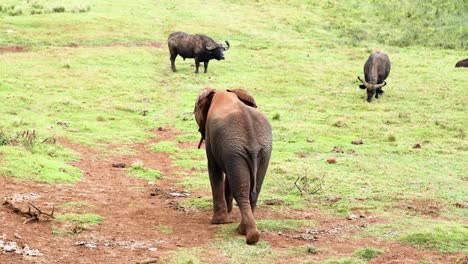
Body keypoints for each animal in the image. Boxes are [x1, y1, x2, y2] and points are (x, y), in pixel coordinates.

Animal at [194, 87, 272, 244]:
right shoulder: (230, 153)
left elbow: (214, 170)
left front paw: (219, 222)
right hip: (258, 151)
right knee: (253, 189)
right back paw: (248, 232)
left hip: (239, 149)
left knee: (241, 191)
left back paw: (246, 233)